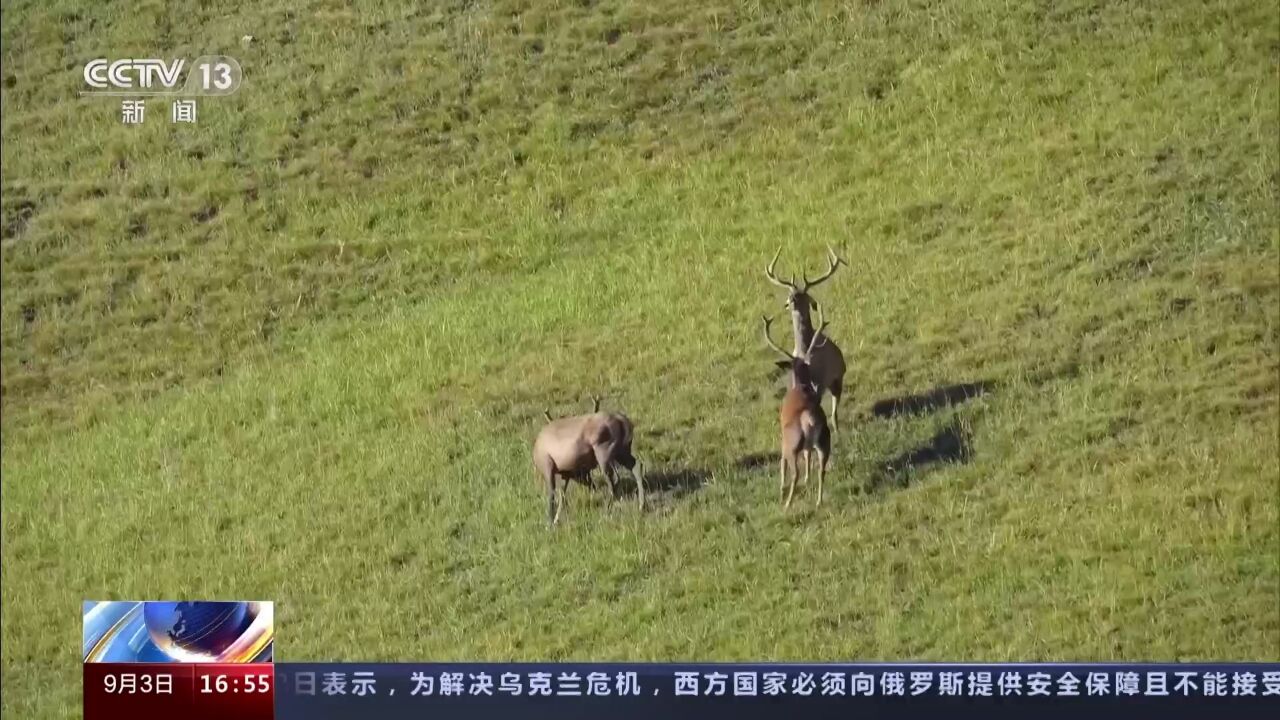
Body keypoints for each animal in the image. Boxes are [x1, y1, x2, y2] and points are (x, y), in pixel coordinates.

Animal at [532, 394, 645, 525]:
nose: (593, 487)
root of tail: (623, 422)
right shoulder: (566, 473)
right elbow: (562, 495)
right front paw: (556, 519)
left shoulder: (548, 465)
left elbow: (551, 494)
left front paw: (550, 521)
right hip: (622, 451)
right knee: (636, 465)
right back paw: (641, 505)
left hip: (603, 451)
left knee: (613, 478)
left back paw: (607, 510)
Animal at [762, 243, 844, 427]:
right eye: (790, 293)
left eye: (803, 295)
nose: (791, 298)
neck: (804, 348)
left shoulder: (822, 380)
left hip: (837, 378)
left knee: (835, 407)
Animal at [762, 304, 834, 507]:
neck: (801, 386)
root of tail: (809, 419)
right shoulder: (809, 447)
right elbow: (808, 458)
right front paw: (808, 481)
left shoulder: (783, 441)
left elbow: (782, 466)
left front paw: (780, 492)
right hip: (824, 441)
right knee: (821, 470)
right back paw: (818, 501)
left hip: (791, 445)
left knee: (794, 472)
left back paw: (787, 504)